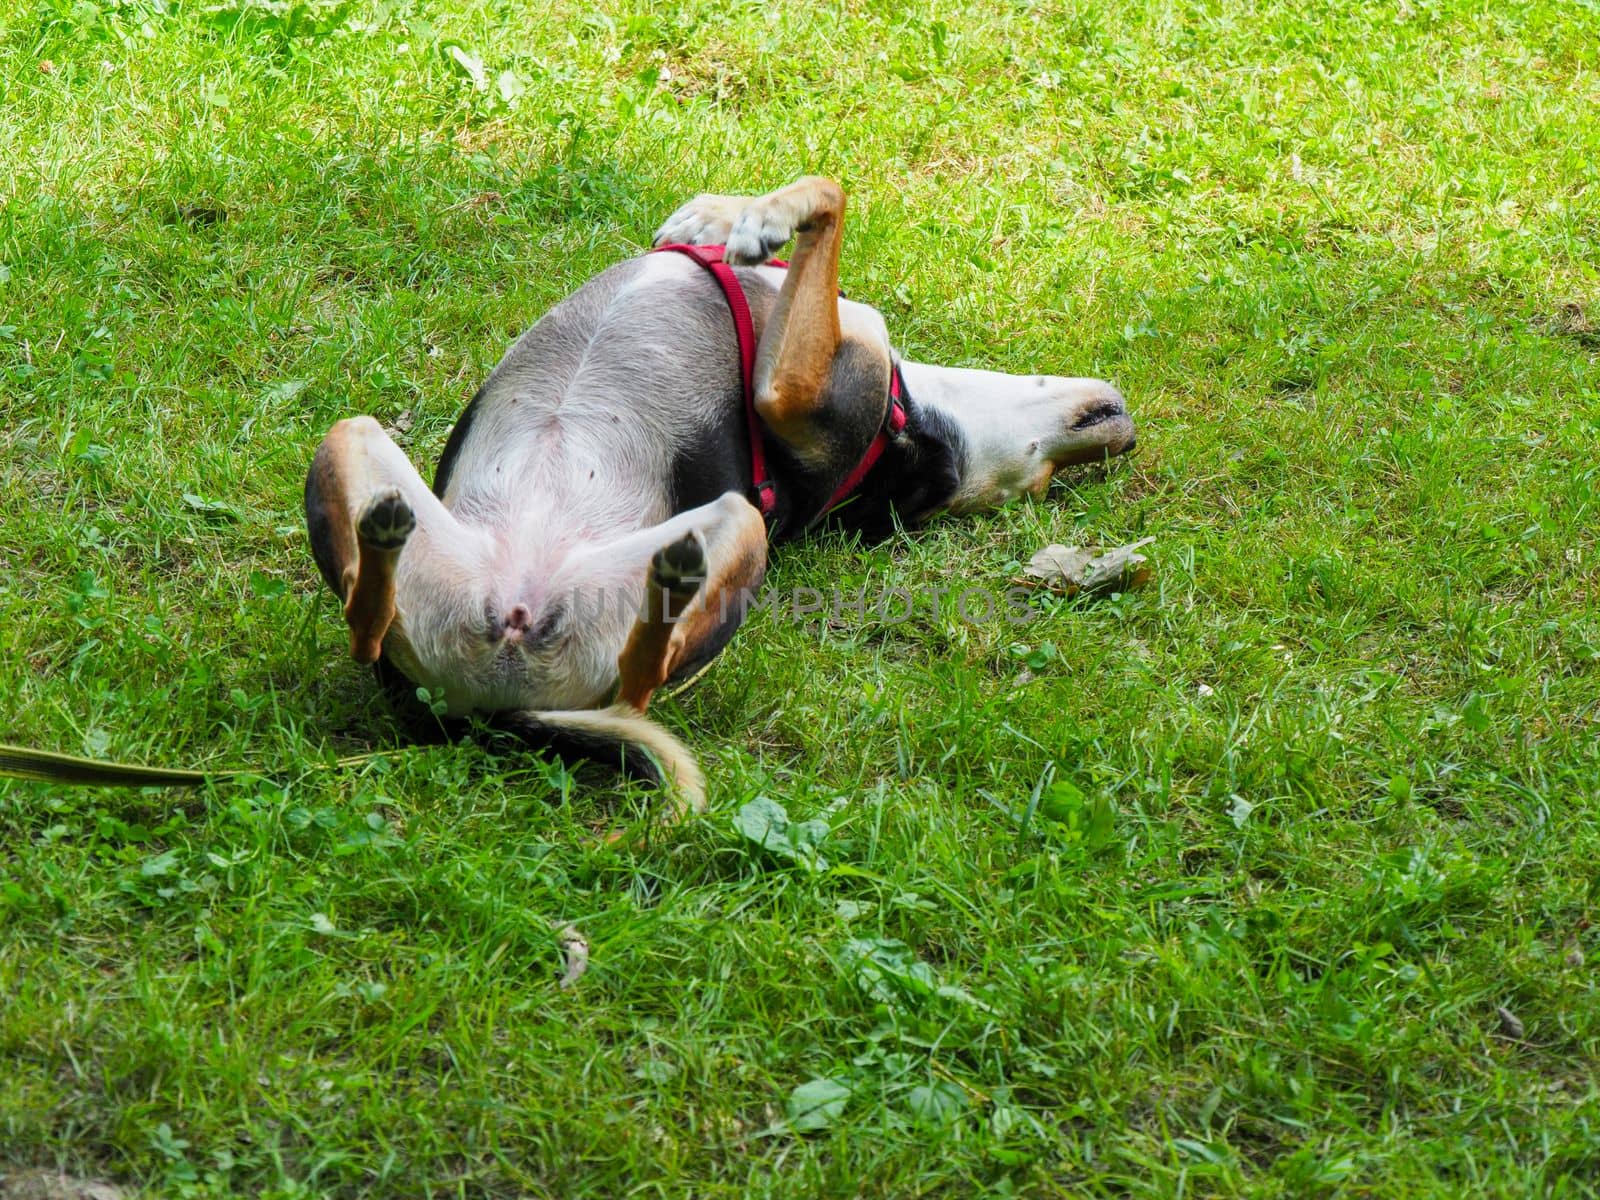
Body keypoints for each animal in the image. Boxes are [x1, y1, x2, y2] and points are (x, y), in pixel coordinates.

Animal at [305, 176, 1139, 819]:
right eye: (1044, 480)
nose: (1125, 435)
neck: (909, 432)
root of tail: (496, 709)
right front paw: (724, 216)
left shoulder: (789, 395)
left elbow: (829, 190)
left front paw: (757, 220)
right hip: (352, 437)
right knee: (367, 621)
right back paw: (381, 545)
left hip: (737, 526)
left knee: (639, 685)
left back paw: (669, 586)